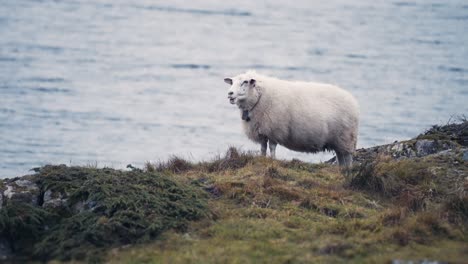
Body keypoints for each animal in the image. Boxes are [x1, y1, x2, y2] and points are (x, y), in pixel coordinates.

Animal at [223, 70, 358, 167]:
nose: (230, 94)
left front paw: (272, 160)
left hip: (346, 138)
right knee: (341, 158)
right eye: (232, 82)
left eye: (245, 82)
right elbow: (263, 148)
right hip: (339, 141)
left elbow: (272, 148)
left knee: (348, 158)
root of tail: (352, 99)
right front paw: (262, 159)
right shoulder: (262, 131)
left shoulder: (274, 130)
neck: (260, 97)